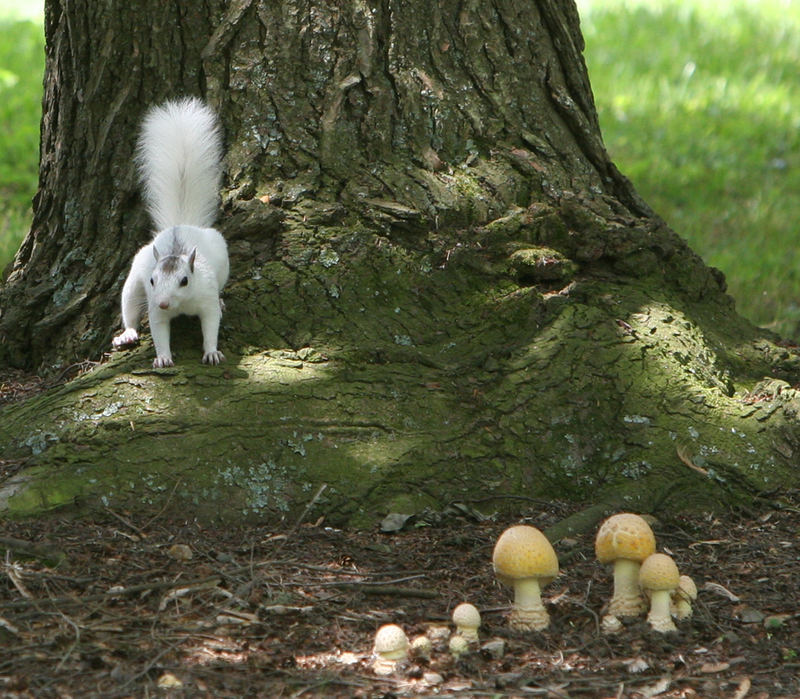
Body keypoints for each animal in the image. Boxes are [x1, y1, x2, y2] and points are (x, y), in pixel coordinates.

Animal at [111, 100, 228, 372]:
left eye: (185, 281)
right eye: (153, 281)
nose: (164, 302)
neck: (181, 304)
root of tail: (179, 225)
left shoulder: (205, 297)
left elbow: (211, 324)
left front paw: (212, 352)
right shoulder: (155, 308)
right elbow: (159, 332)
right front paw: (163, 357)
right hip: (133, 284)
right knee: (129, 307)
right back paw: (128, 334)